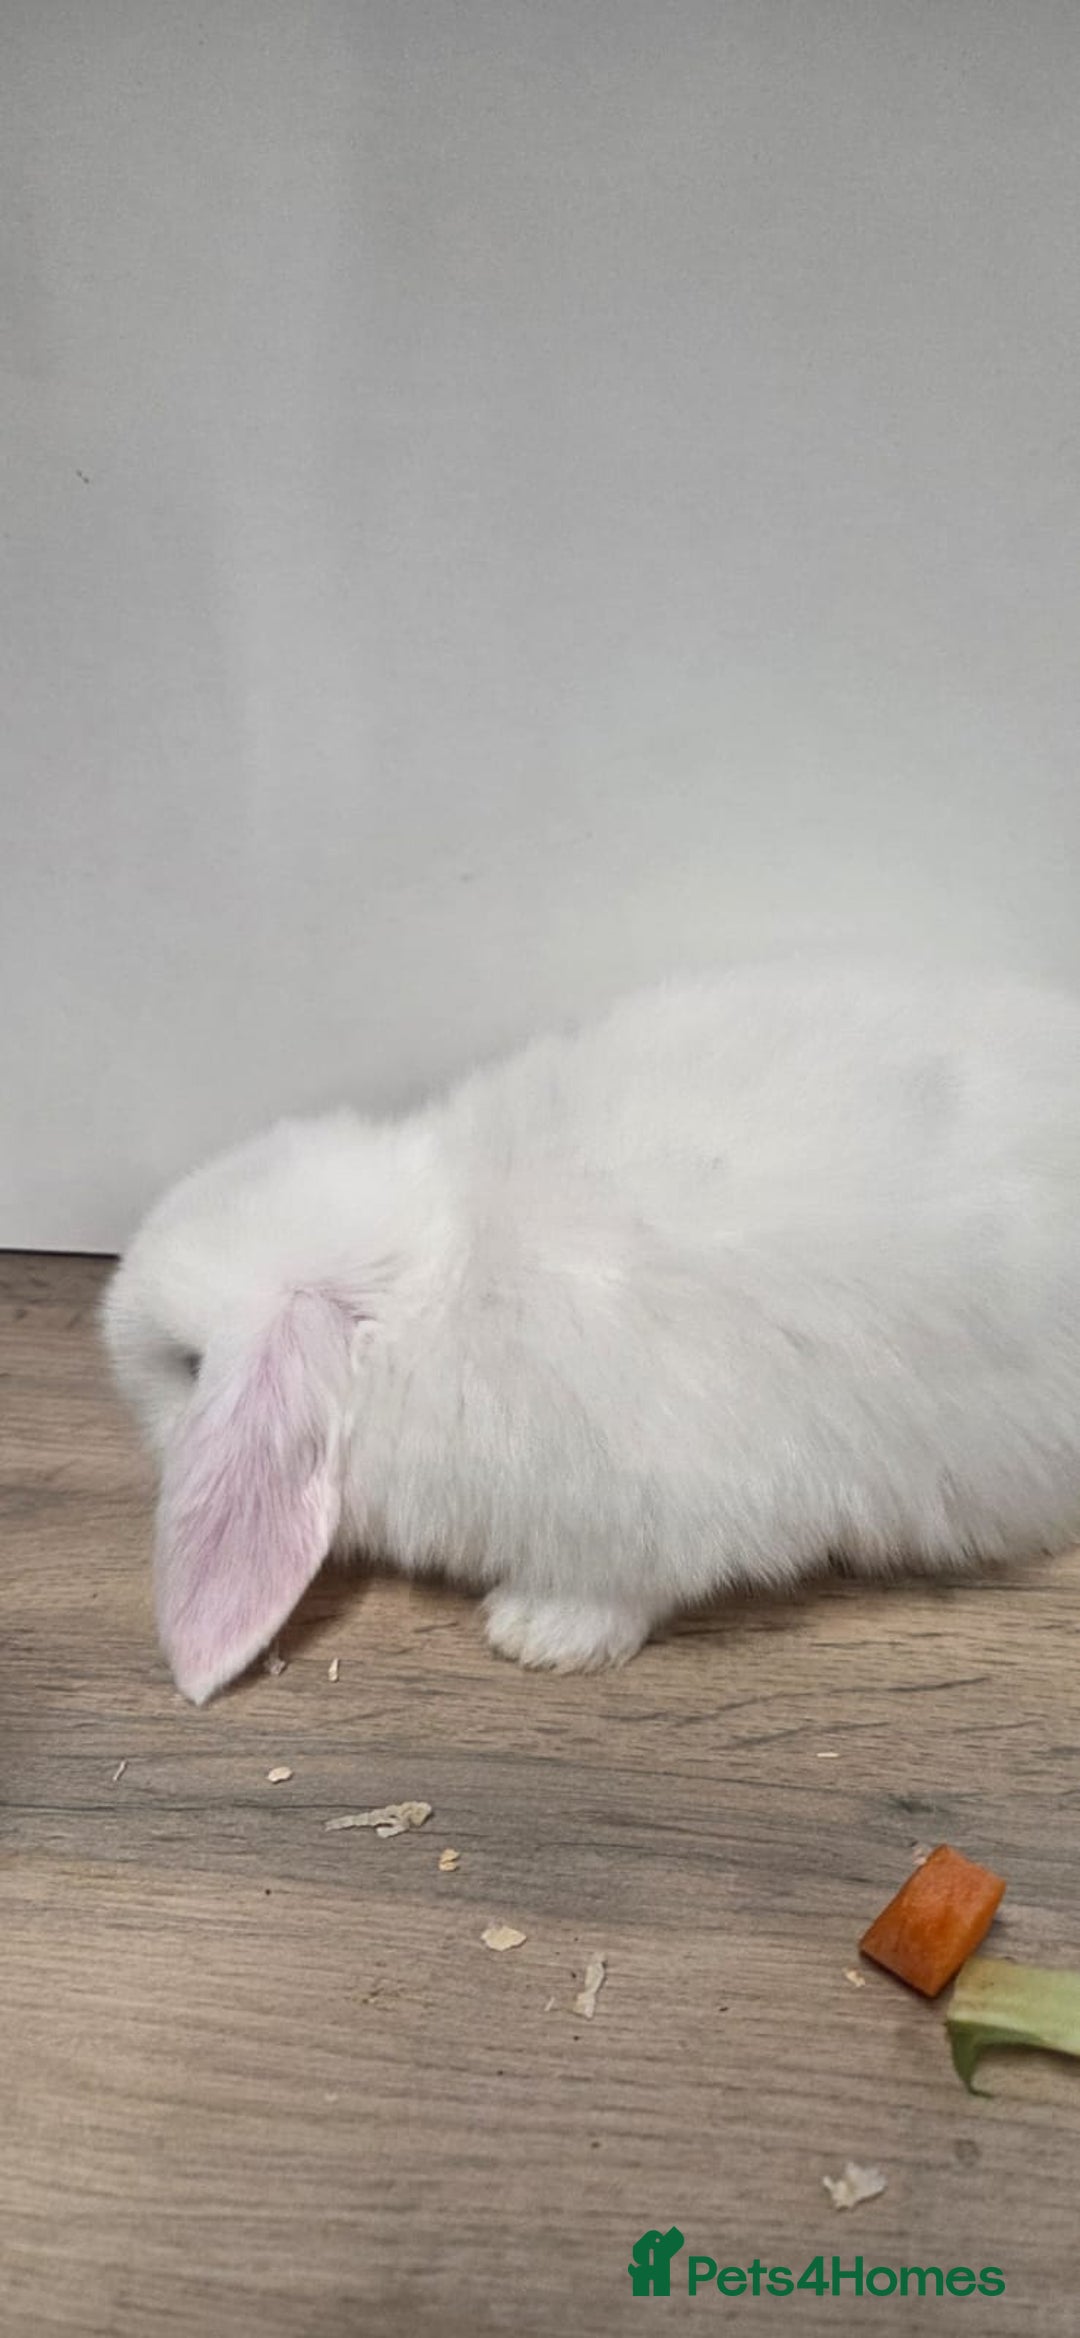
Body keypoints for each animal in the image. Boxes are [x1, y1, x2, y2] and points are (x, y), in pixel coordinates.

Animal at [102, 961, 1080, 1705]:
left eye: (188, 1365)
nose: (116, 1350)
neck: (438, 1280)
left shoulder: (651, 1506)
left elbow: (621, 1588)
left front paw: (534, 1634)